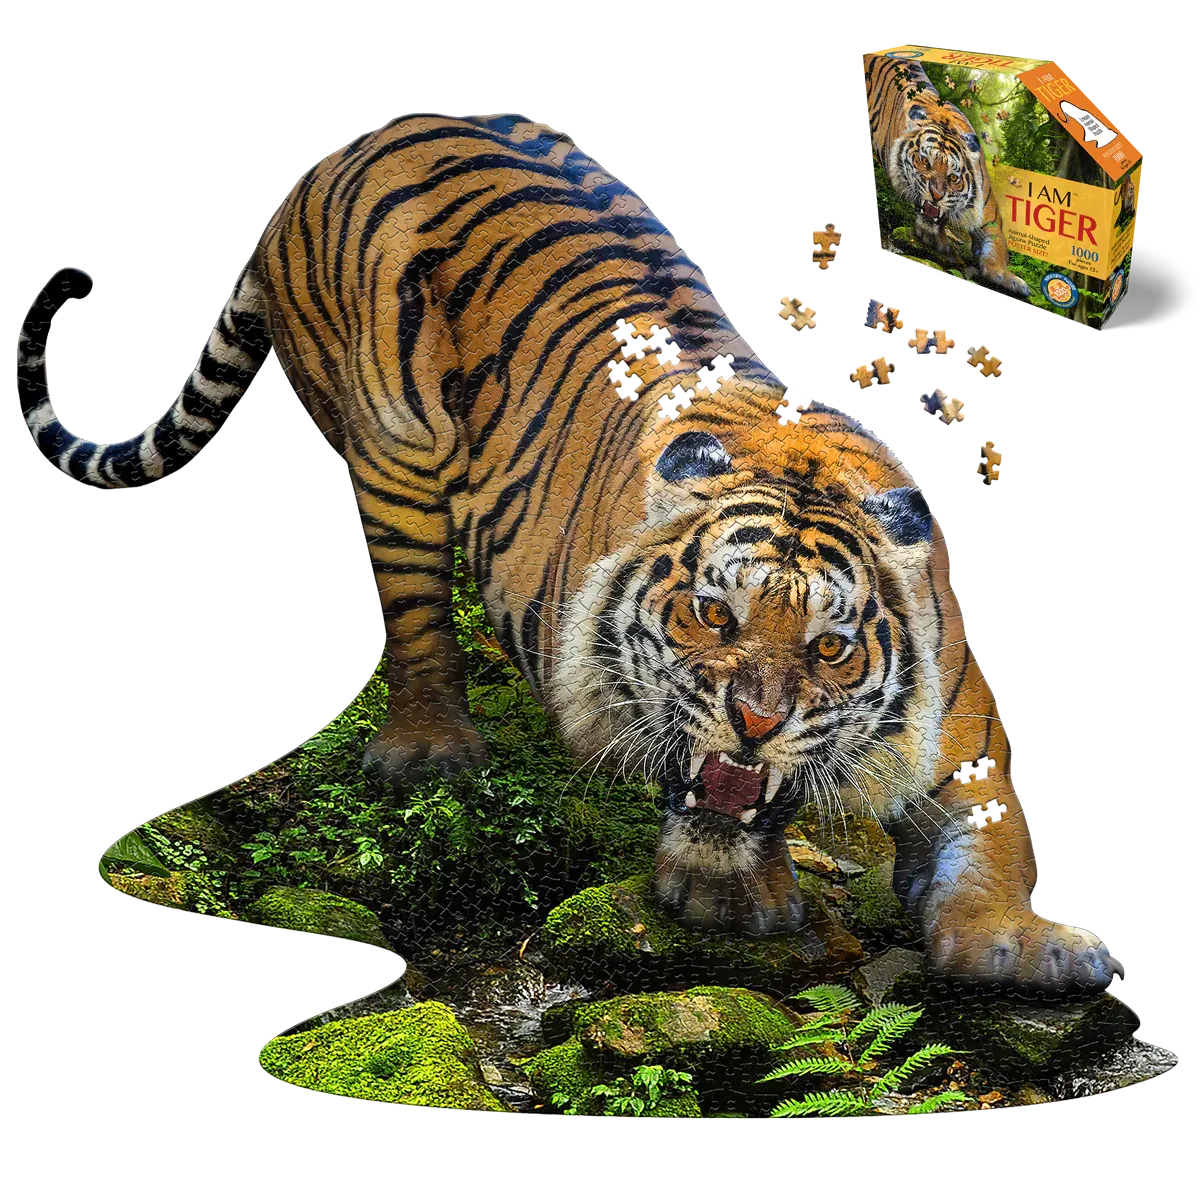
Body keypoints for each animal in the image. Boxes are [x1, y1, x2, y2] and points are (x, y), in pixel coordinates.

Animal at [18, 113, 1120, 994]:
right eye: (713, 613)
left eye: (831, 648)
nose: (757, 724)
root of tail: (327, 160)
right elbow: (704, 814)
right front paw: (731, 898)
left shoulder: (964, 747)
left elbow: (996, 843)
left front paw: (1025, 943)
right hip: (395, 455)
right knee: (414, 618)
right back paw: (432, 750)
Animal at [865, 54, 1030, 298]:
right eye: (924, 161)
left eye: (953, 177)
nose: (936, 195)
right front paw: (934, 237)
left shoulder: (990, 216)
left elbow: (998, 247)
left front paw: (1007, 277)